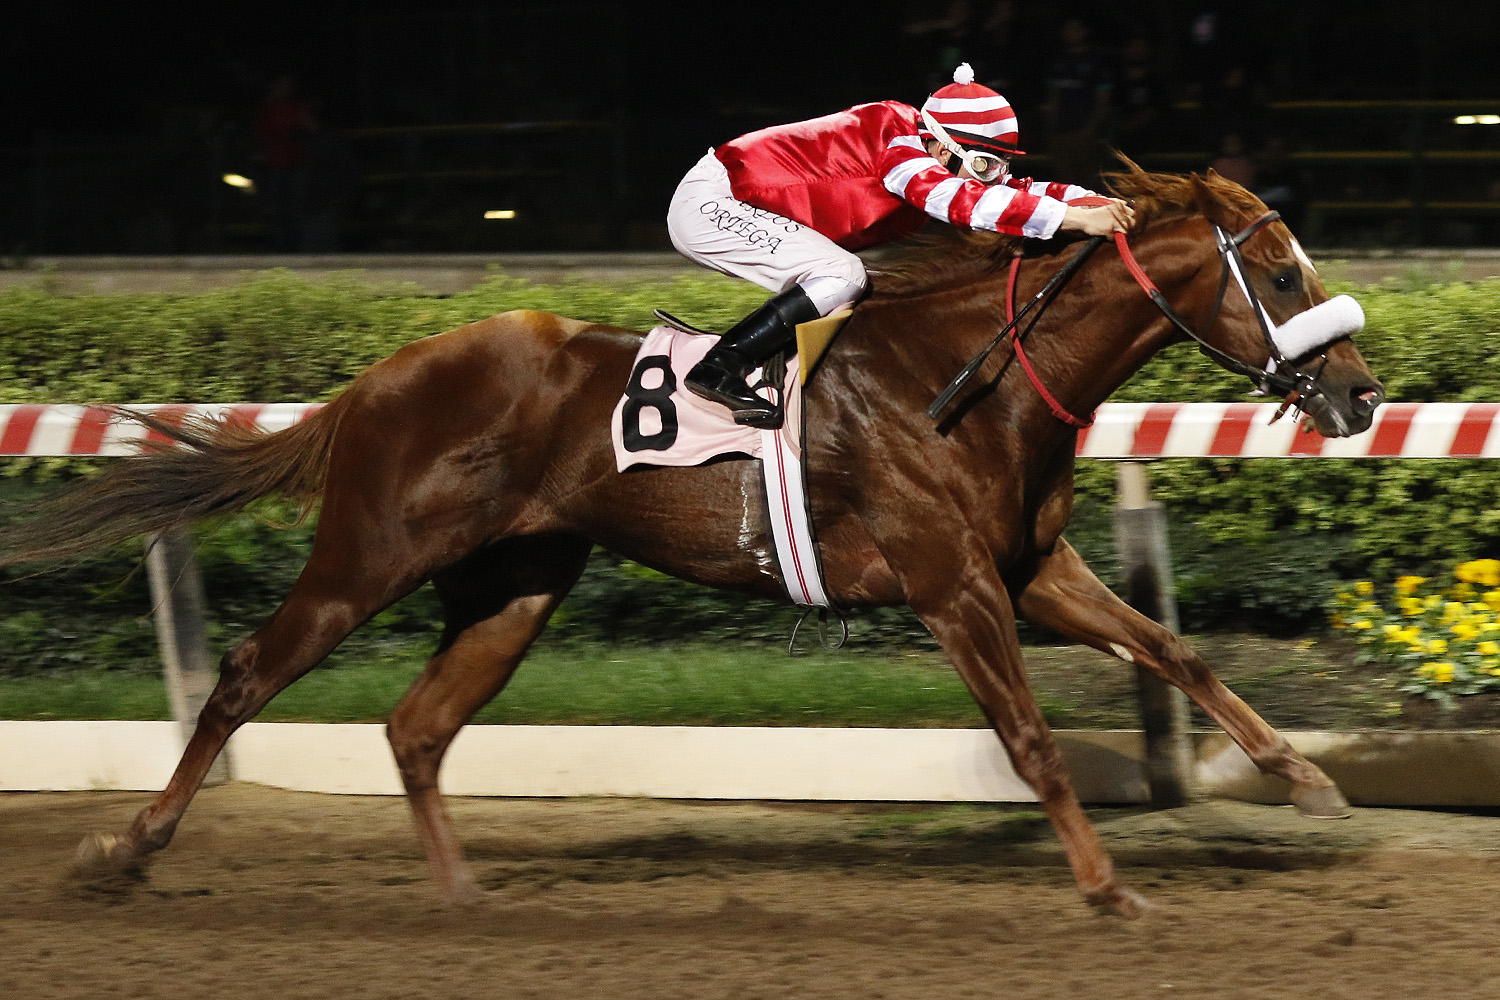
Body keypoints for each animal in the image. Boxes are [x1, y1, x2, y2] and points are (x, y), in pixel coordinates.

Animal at [0, 165, 1384, 917]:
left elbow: (1176, 650)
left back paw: (459, 894)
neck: (968, 376)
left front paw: (1303, 778)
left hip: (517, 585)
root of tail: (377, 379)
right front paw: (1107, 887)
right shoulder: (953, 587)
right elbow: (1036, 743)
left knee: (418, 726)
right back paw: (126, 849)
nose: (1363, 395)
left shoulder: (1031, 569)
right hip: (367, 558)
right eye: (1279, 271)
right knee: (243, 677)